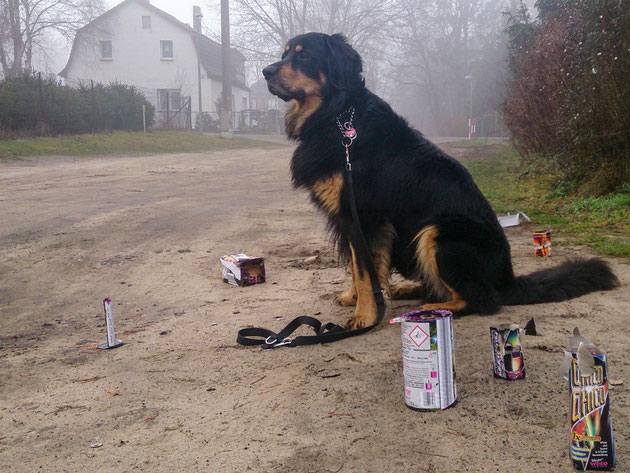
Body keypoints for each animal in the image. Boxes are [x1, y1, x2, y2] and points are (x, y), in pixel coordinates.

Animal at [262, 32, 624, 328]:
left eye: (303, 56)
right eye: (284, 54)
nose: (266, 71)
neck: (339, 116)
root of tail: (508, 279)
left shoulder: (364, 216)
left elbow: (365, 271)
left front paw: (364, 317)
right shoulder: (352, 220)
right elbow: (358, 265)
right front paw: (357, 299)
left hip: (440, 234)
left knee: (481, 299)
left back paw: (432, 308)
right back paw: (409, 290)